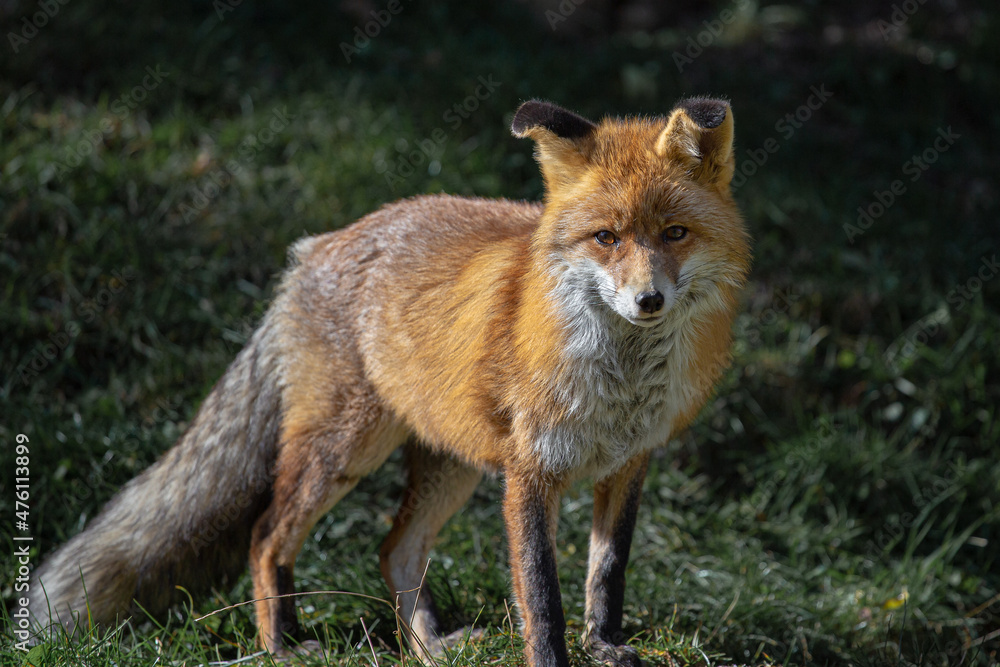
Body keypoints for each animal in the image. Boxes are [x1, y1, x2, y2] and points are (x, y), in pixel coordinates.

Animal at [25, 99, 752, 667]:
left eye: (675, 233)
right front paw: (553, 657)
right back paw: (281, 643)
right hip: (344, 451)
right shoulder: (529, 473)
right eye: (606, 238)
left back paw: (427, 647)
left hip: (452, 464)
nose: (647, 300)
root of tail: (314, 248)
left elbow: (607, 572)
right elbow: (542, 598)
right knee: (266, 535)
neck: (621, 386)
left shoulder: (629, 462)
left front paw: (603, 645)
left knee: (393, 552)